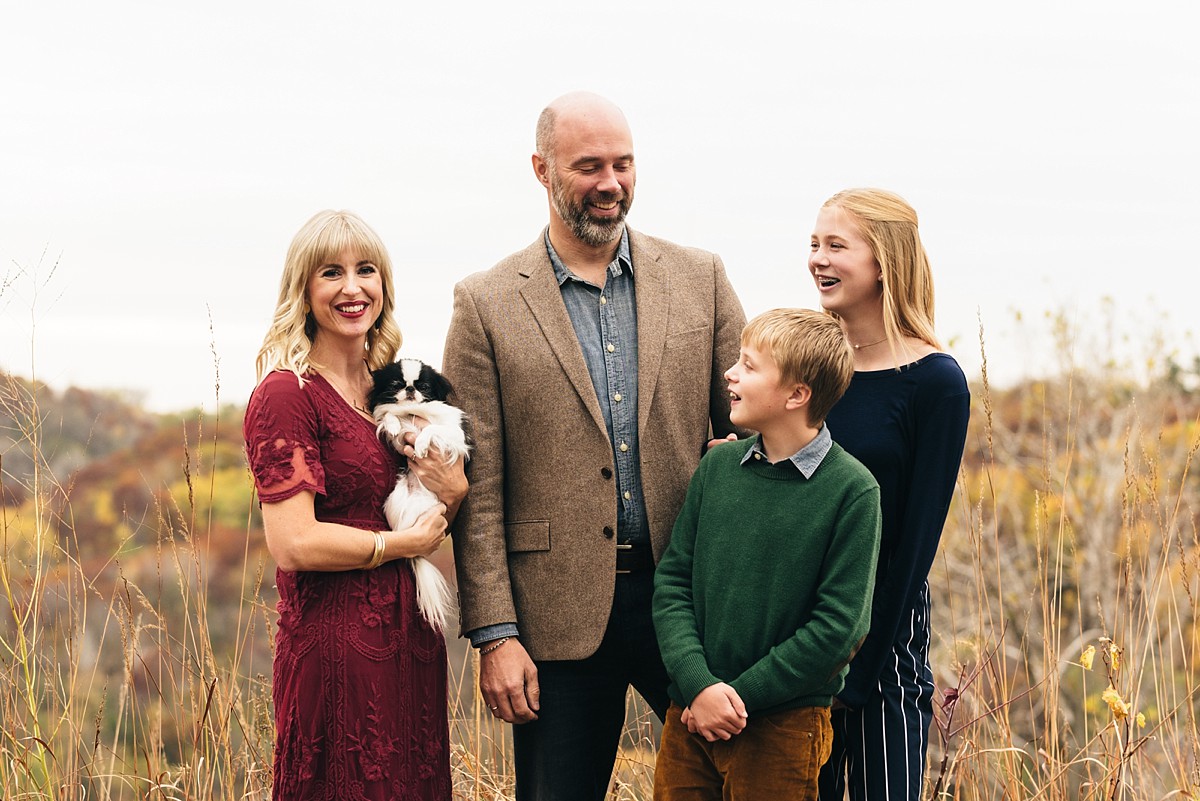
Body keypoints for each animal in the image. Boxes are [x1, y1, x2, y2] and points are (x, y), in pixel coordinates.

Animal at [367, 357, 470, 633]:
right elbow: (391, 415)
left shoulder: (453, 435)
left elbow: (431, 429)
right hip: (396, 498)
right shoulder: (400, 436)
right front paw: (393, 423)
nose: (411, 389)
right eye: (396, 384)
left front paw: (422, 445)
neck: (415, 413)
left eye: (423, 386)